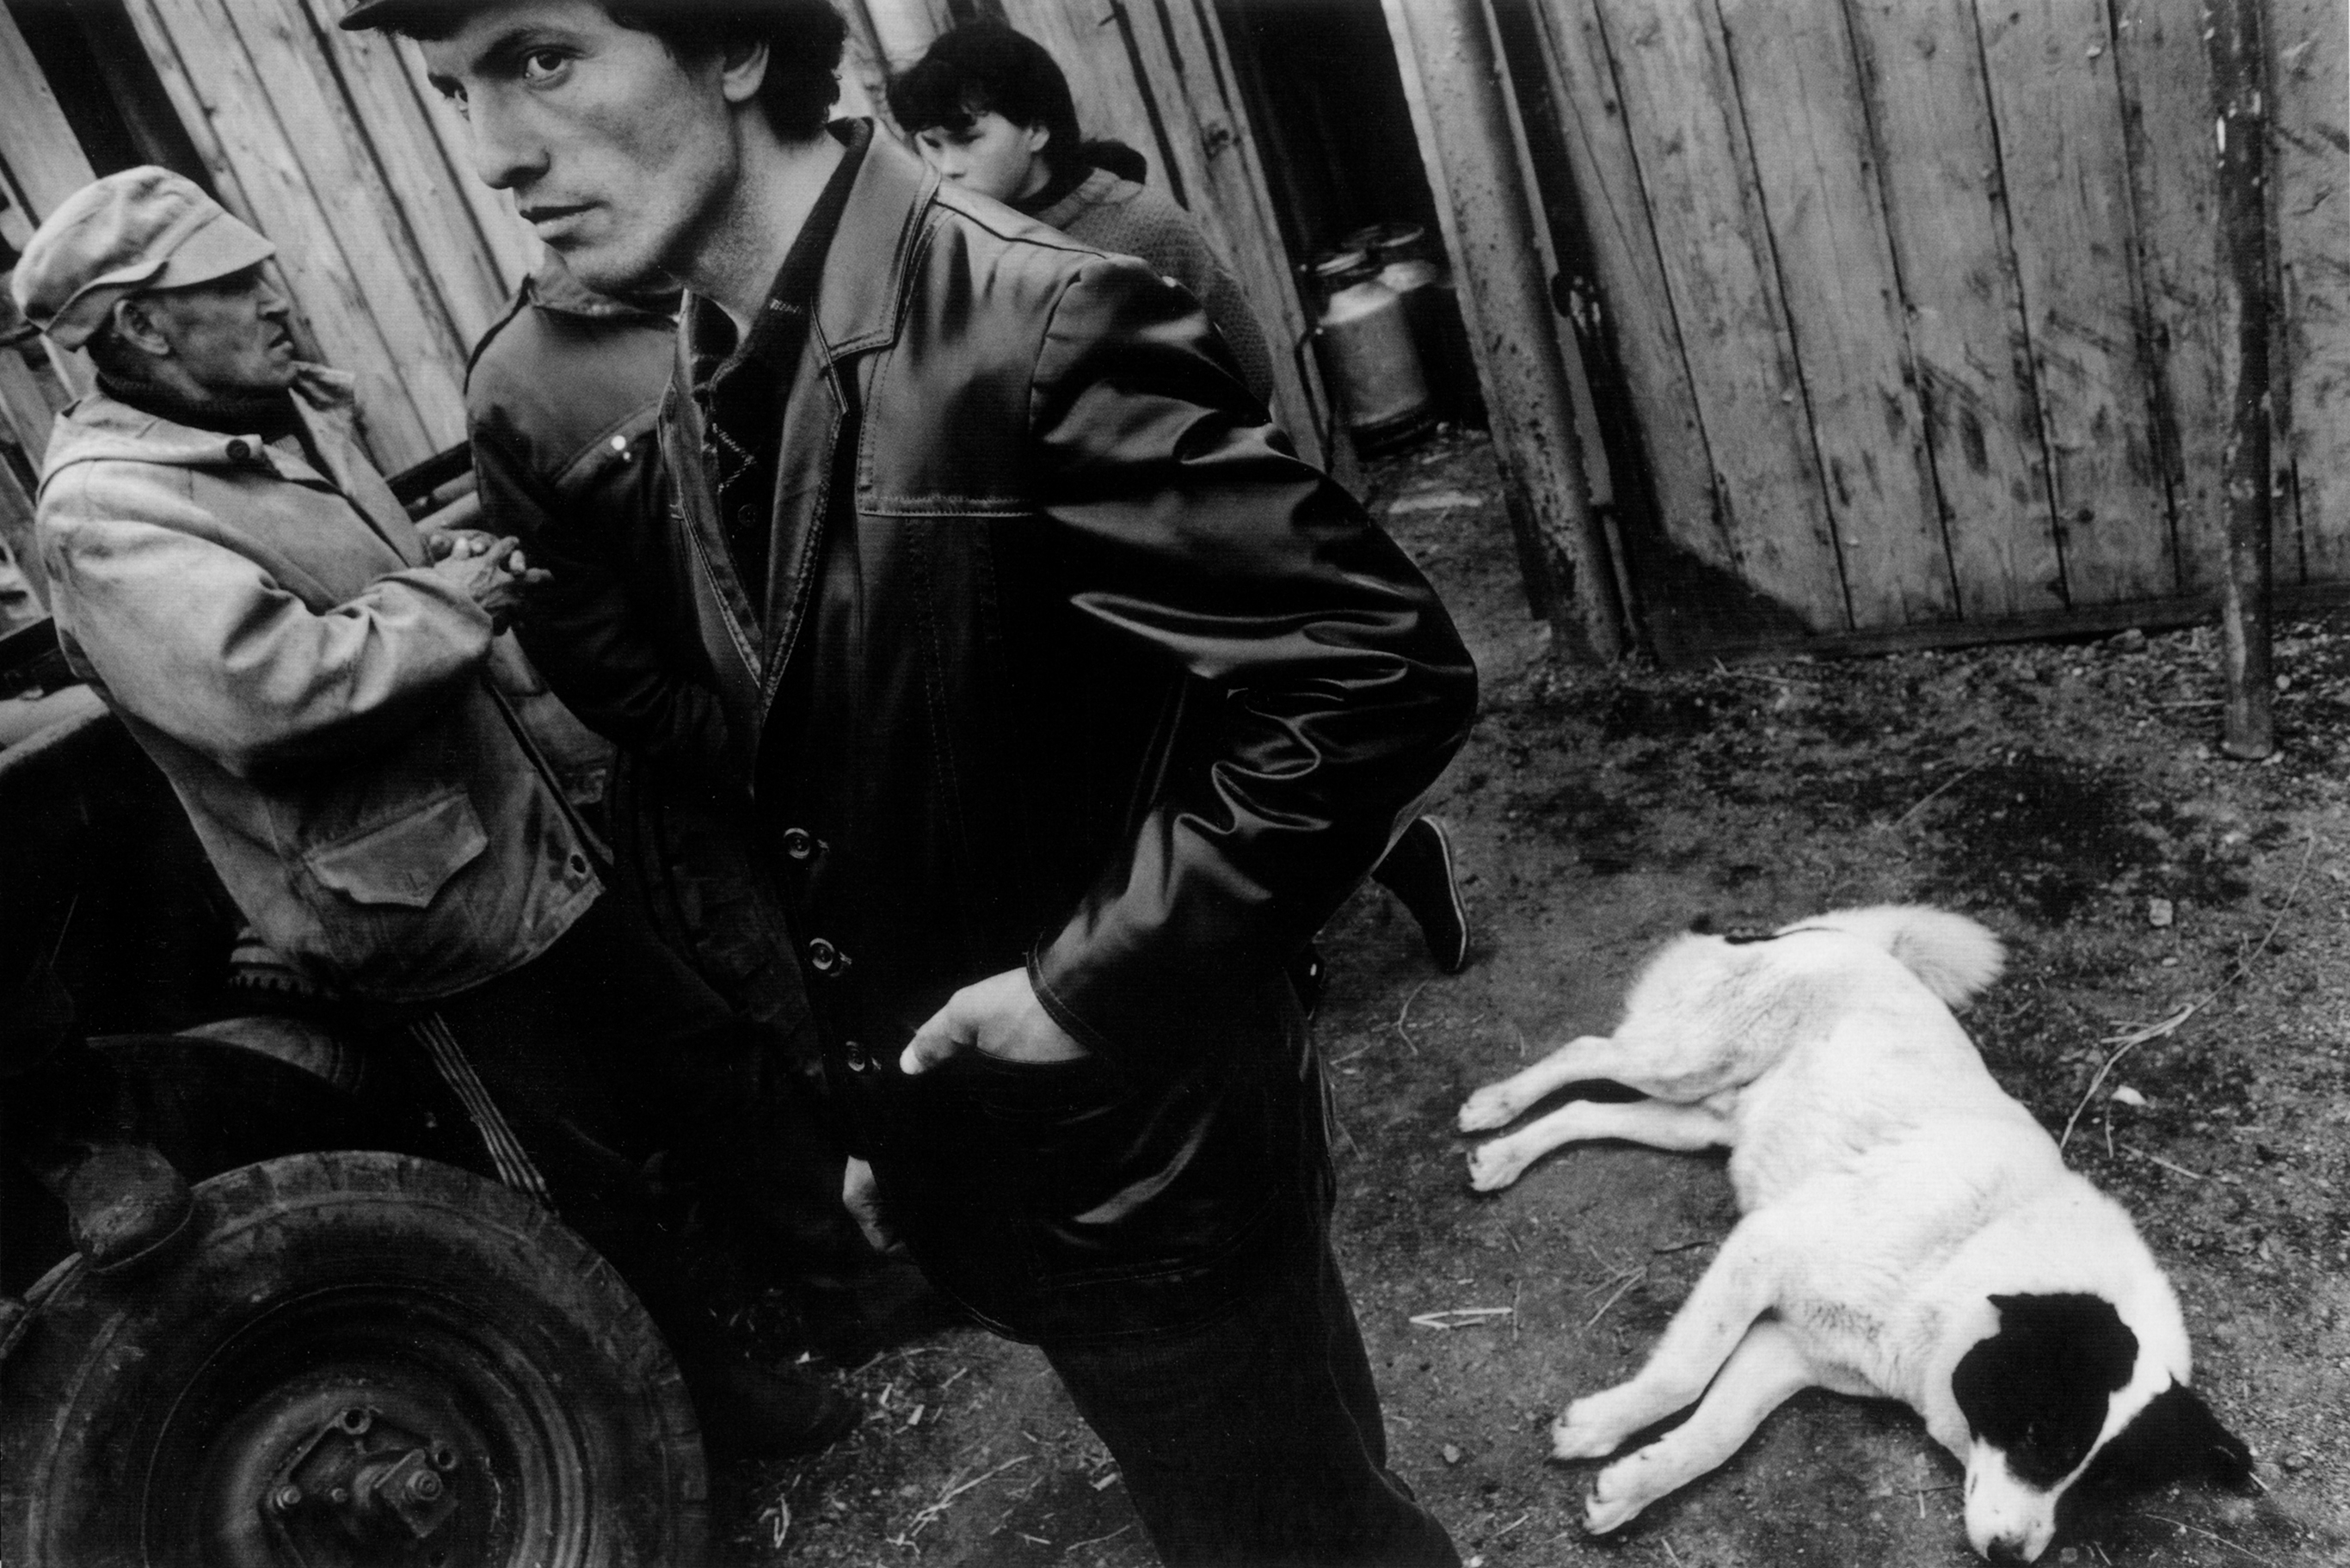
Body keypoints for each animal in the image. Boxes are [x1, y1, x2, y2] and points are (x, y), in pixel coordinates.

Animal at [1458, 906, 2253, 1563]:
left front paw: (1629, 1486)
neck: (1970, 1258)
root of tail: (1840, 935)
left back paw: (1504, 1154)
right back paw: (1493, 1105)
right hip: (1688, 1061)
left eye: (2101, 1487)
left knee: (1591, 1110)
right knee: (1589, 1050)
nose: (2011, 1557)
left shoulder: (1792, 1348)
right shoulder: (1763, 1248)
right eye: (2039, 1435)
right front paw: (1598, 1426)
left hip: (1699, 1120)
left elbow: (1718, 1433)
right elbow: (1683, 1373)